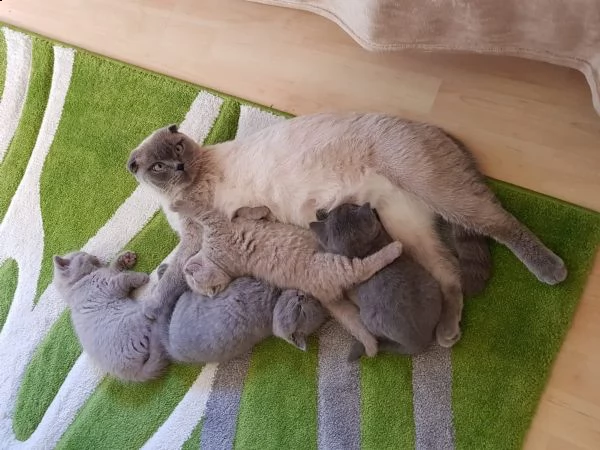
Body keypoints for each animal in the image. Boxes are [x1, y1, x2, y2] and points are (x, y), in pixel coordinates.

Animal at [178, 206, 404, 356]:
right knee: (362, 267)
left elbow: (243, 211)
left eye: (213, 289)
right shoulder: (218, 224)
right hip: (334, 265)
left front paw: (264, 211)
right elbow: (204, 210)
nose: (213, 293)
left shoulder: (230, 221)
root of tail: (326, 297)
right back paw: (394, 249)